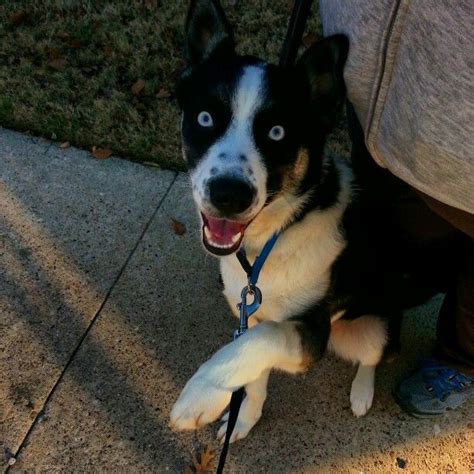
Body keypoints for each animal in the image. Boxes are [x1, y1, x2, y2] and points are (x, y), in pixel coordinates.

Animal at [169, 0, 440, 444]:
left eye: (277, 132)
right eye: (205, 118)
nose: (228, 194)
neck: (278, 235)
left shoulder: (310, 330)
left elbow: (260, 341)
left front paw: (202, 394)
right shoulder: (251, 312)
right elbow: (254, 368)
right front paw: (243, 417)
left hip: (364, 330)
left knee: (376, 354)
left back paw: (362, 392)